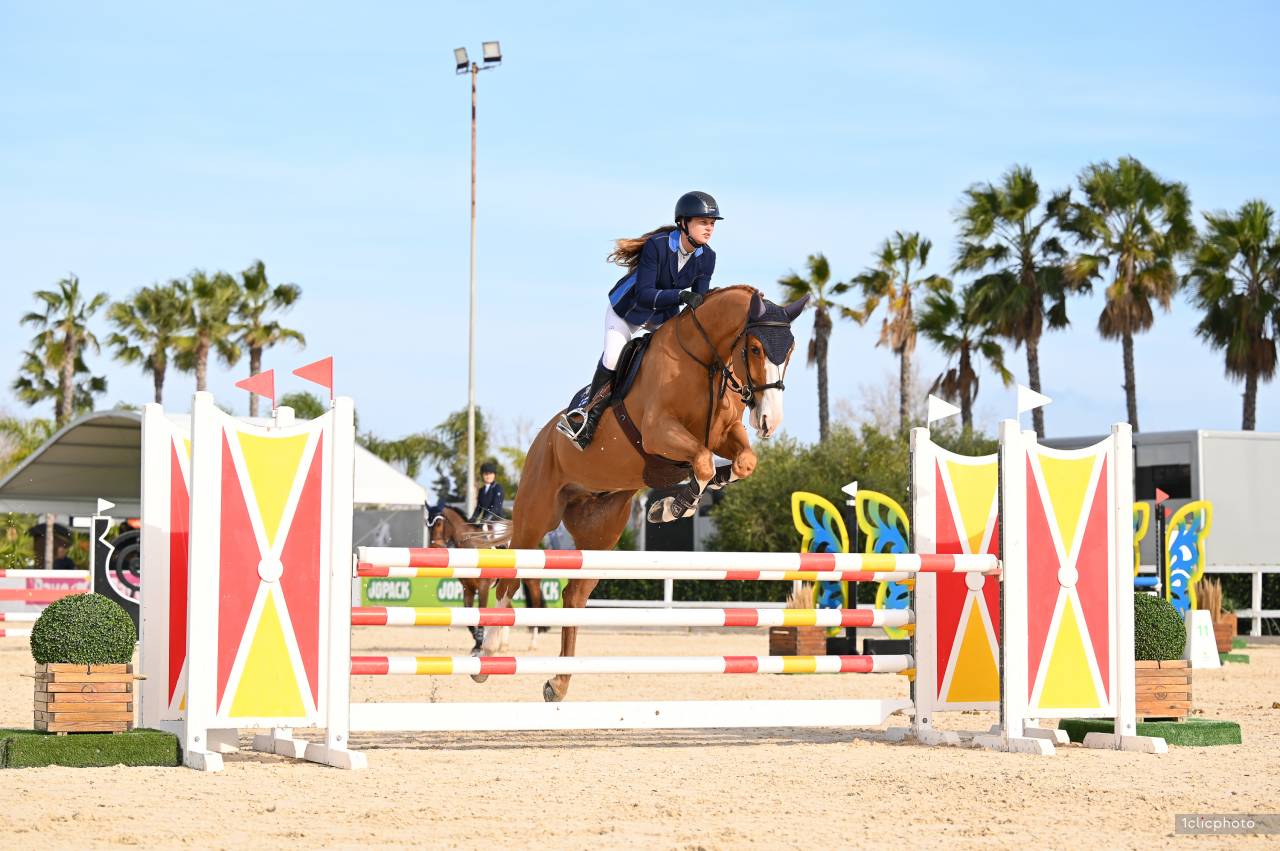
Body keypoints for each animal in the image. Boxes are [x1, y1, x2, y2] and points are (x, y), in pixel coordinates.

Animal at [492, 285, 807, 701]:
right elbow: (702, 462)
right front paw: (675, 506)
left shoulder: (724, 433)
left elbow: (741, 462)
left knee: (573, 597)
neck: (705, 361)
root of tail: (543, 437)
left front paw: (678, 500)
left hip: (601, 532)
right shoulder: (660, 432)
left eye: (790, 350)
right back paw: (487, 651)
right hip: (536, 515)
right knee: (509, 578)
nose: (769, 421)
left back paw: (558, 683)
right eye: (754, 348)